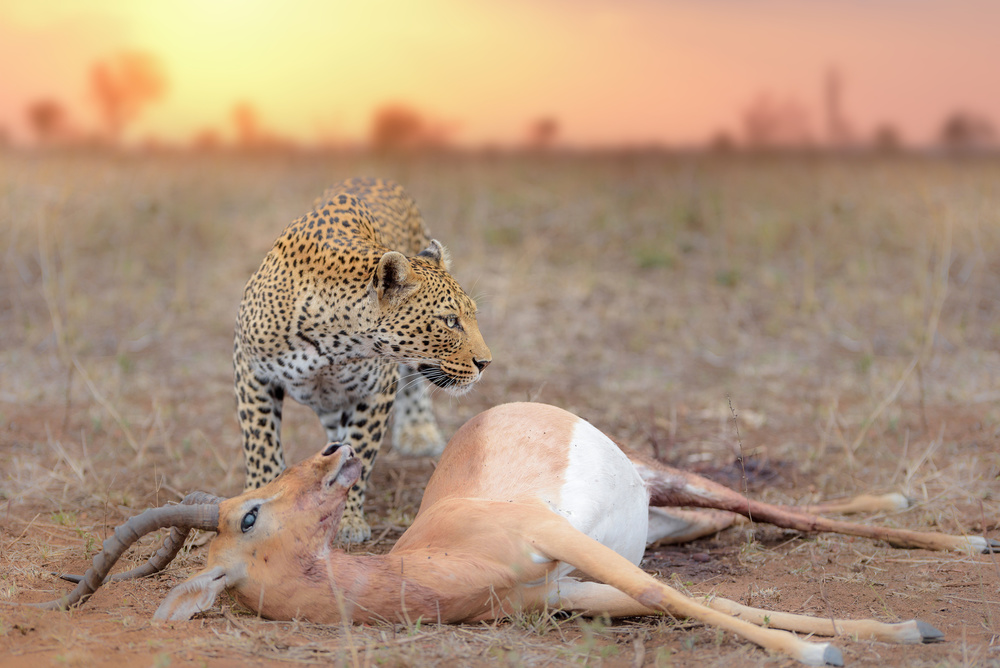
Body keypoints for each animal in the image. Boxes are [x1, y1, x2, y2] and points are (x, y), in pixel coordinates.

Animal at [230, 177, 488, 544]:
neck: (332, 341)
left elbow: (360, 452)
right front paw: (261, 497)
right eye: (450, 321)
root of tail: (373, 177)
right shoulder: (251, 370)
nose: (486, 363)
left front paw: (348, 519)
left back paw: (417, 430)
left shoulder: (377, 391)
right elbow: (260, 445)